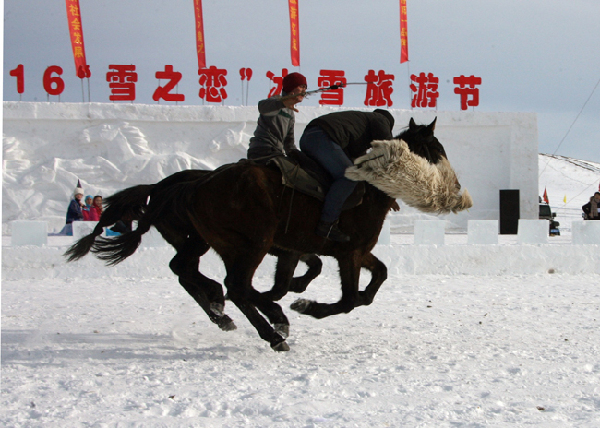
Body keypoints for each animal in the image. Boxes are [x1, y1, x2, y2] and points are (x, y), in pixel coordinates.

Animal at [65, 118, 468, 352]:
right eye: (435, 148)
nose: (456, 188)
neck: (368, 188)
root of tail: (190, 187)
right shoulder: (347, 253)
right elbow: (349, 299)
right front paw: (305, 306)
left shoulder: (334, 251)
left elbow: (374, 278)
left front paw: (291, 299)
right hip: (249, 244)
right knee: (235, 286)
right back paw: (270, 330)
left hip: (214, 243)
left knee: (197, 274)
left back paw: (234, 312)